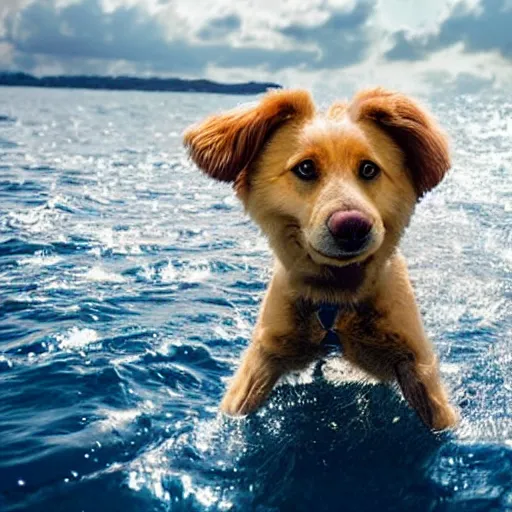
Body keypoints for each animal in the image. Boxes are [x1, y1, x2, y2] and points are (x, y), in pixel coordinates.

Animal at [184, 88, 460, 432]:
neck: (336, 293)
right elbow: (237, 407)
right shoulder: (265, 353)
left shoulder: (414, 357)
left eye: (369, 169)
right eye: (305, 168)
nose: (352, 226)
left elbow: (438, 414)